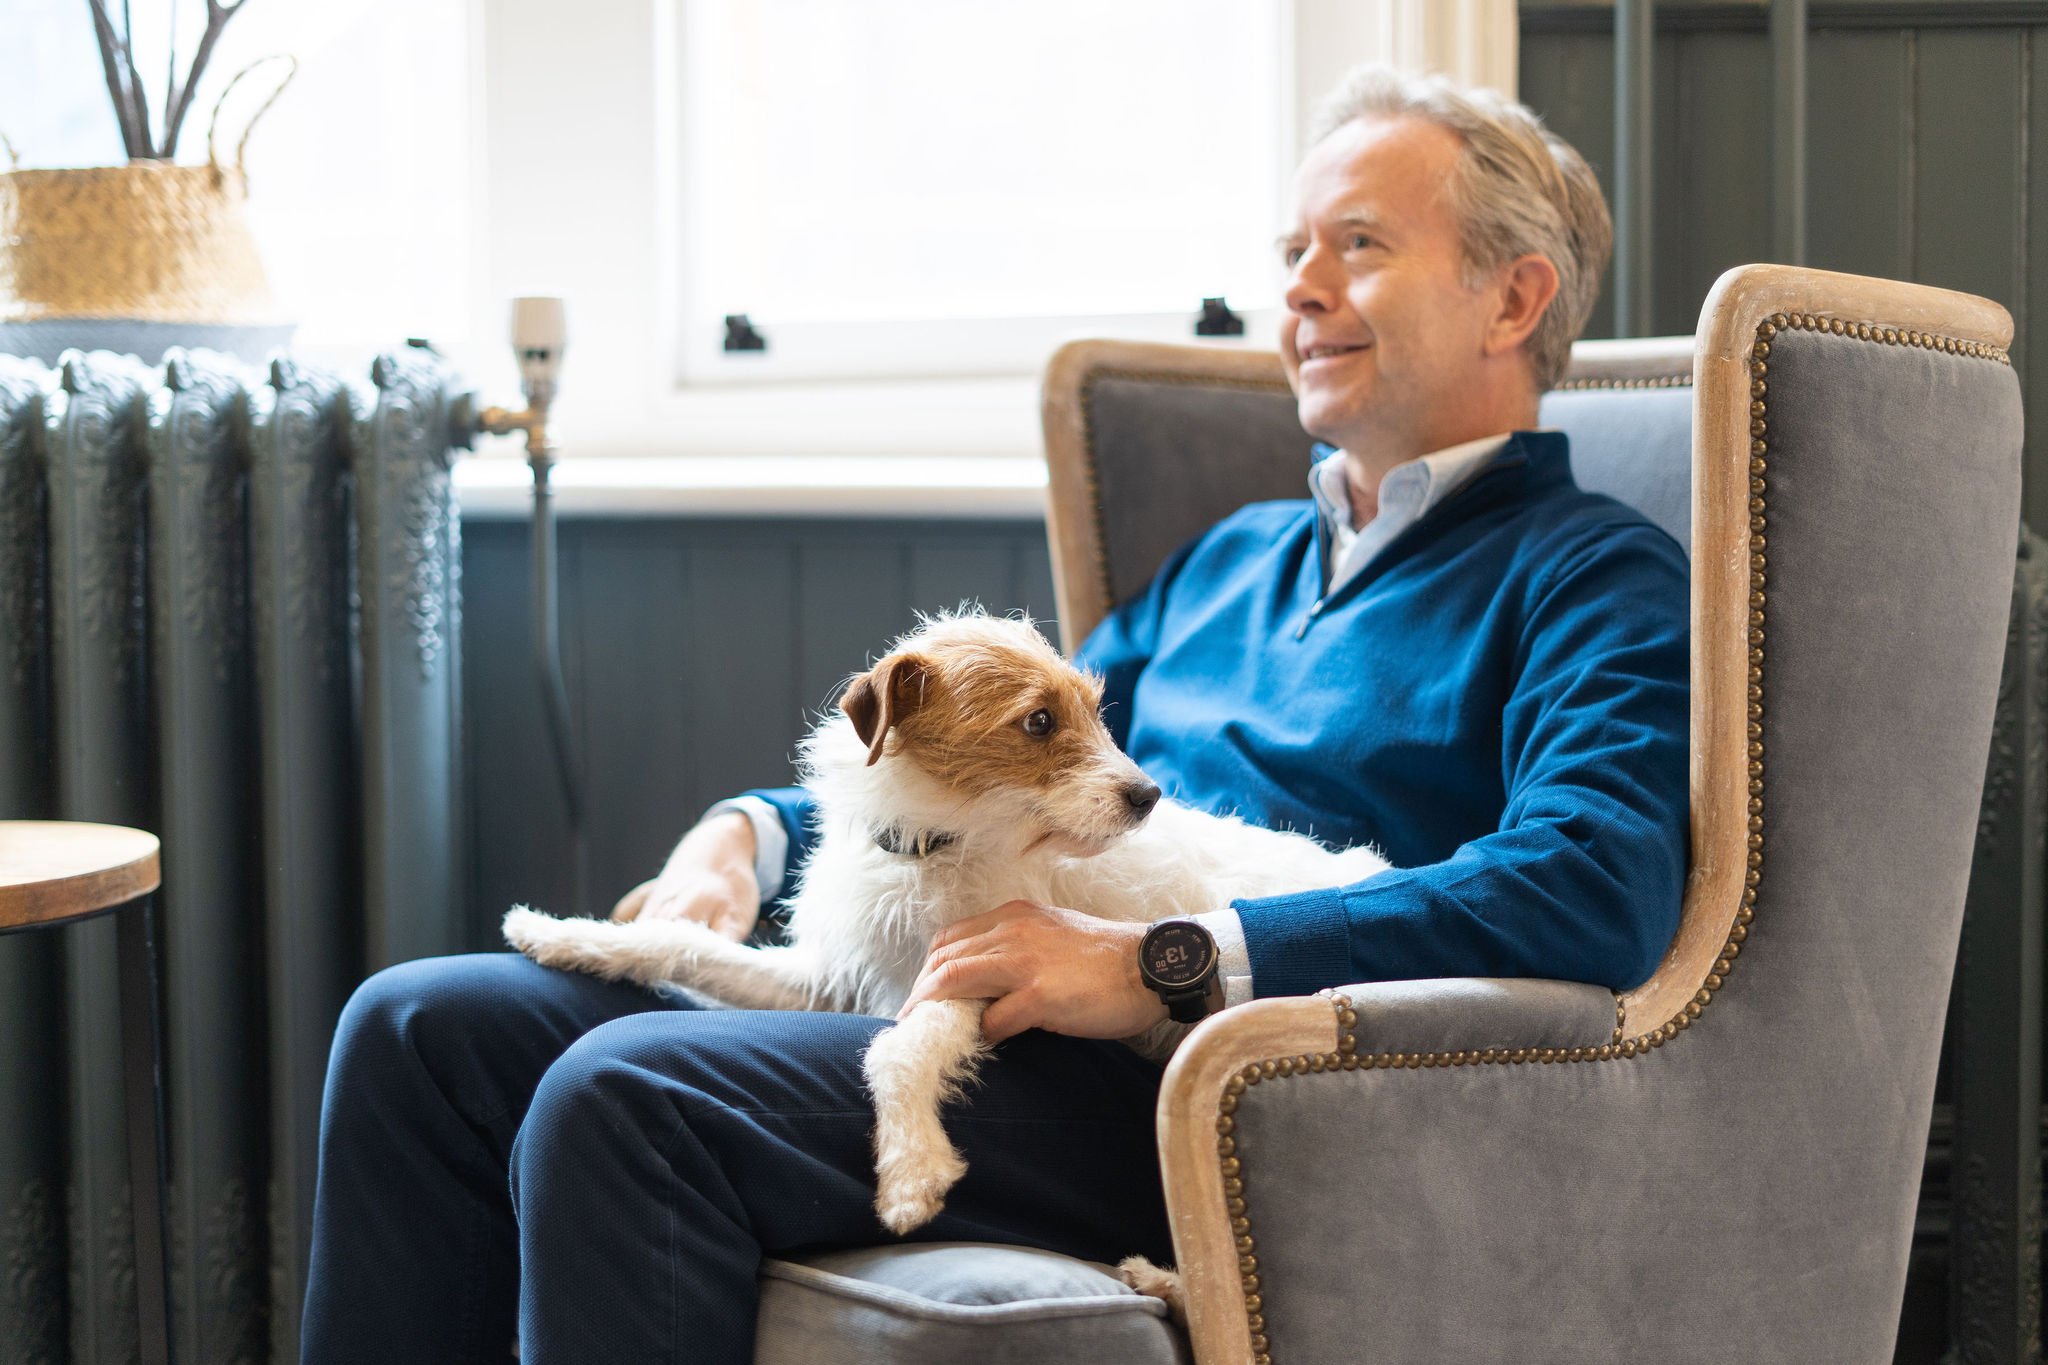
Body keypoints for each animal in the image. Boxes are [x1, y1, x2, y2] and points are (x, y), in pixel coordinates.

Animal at [505, 618, 1392, 1236]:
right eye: (1039, 721)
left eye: (1091, 711)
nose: (1147, 796)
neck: (929, 845)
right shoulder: (832, 974)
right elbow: (685, 943)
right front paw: (561, 932)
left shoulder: (976, 972)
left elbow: (895, 1051)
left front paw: (909, 1170)